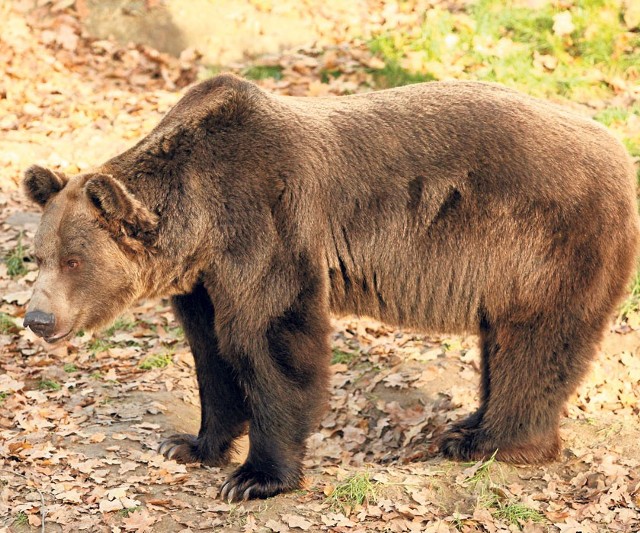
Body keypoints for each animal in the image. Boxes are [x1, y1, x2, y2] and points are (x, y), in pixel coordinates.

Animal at [22, 72, 636, 500]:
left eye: (74, 261)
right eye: (39, 256)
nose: (36, 319)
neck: (199, 220)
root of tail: (618, 152)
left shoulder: (263, 221)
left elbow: (271, 338)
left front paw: (256, 477)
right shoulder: (202, 278)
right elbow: (211, 352)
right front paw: (191, 444)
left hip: (542, 244)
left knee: (534, 342)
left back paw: (489, 442)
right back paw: (468, 425)